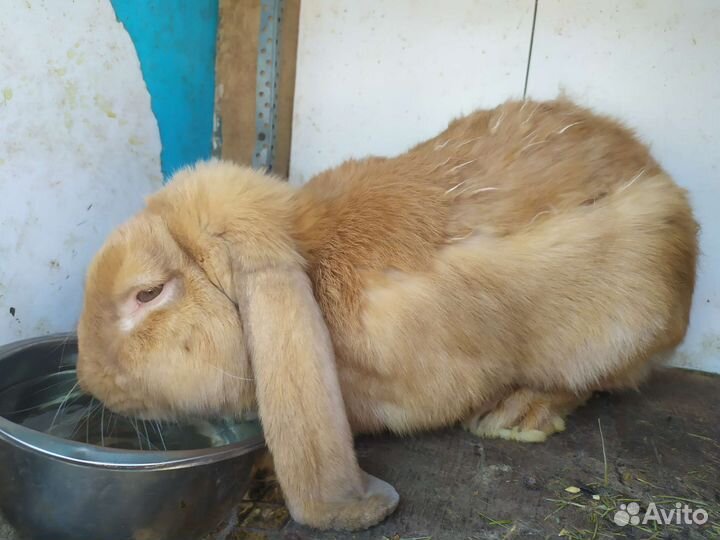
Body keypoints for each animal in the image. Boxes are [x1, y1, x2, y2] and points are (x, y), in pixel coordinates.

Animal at [76, 98, 698, 531]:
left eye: (148, 293)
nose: (89, 377)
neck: (311, 262)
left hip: (613, 331)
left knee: (591, 382)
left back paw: (515, 414)